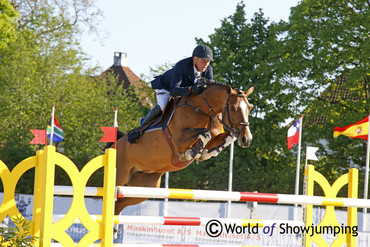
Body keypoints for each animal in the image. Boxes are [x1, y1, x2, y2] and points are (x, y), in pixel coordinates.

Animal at [112, 79, 254, 232]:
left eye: (249, 108)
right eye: (233, 108)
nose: (246, 139)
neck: (202, 110)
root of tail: (117, 143)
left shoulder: (215, 137)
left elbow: (226, 137)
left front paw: (204, 153)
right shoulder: (178, 139)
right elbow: (205, 133)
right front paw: (191, 153)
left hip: (145, 187)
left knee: (119, 204)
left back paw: (114, 230)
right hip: (120, 176)